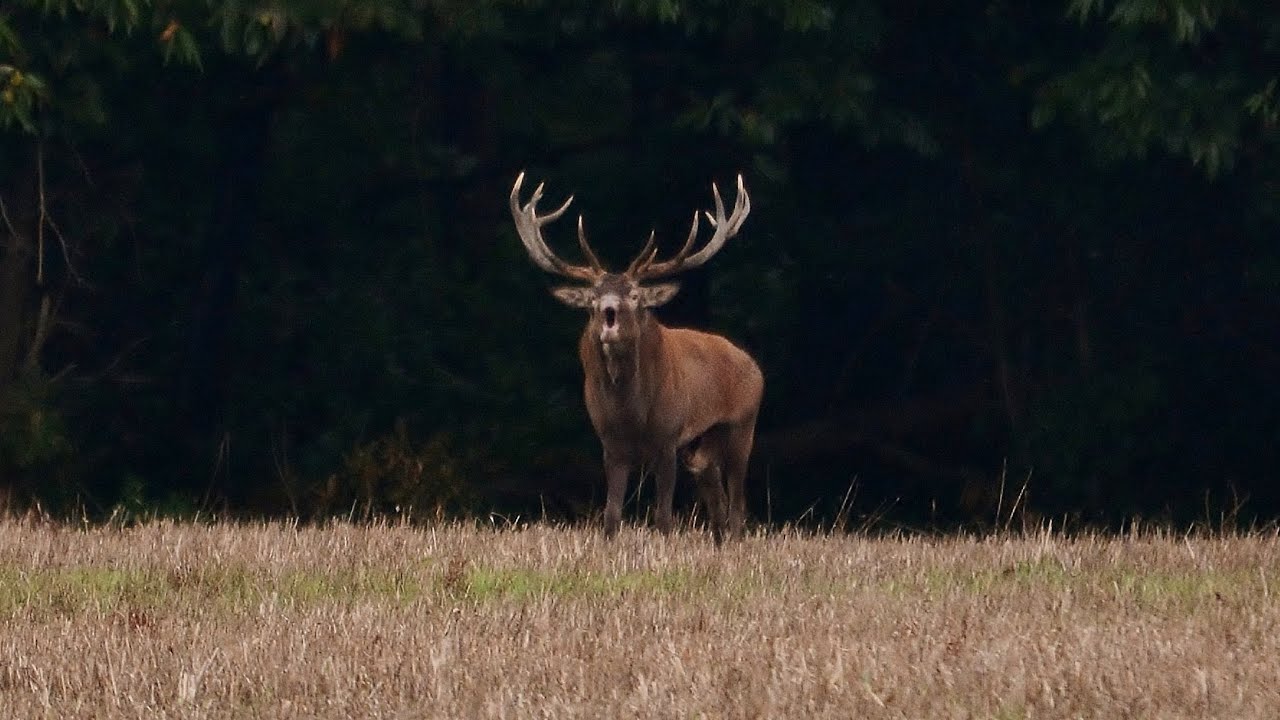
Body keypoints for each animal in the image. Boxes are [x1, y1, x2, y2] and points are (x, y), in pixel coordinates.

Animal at [510, 171, 763, 541]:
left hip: (743, 423)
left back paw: (734, 539)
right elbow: (611, 515)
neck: (632, 412)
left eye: (634, 295)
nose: (608, 310)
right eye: (592, 297)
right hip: (703, 442)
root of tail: (754, 366)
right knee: (712, 485)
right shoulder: (610, 443)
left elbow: (663, 517)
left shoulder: (669, 437)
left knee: (737, 504)